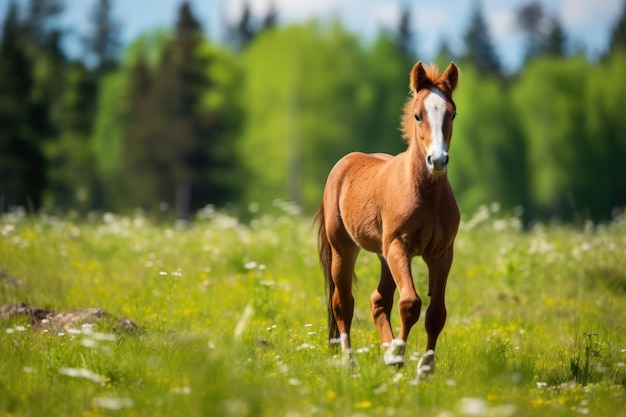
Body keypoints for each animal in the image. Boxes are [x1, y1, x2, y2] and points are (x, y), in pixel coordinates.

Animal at [312, 60, 458, 378]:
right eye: (417, 115)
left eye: (452, 112)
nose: (437, 160)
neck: (425, 193)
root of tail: (341, 166)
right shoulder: (398, 246)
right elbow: (411, 303)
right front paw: (397, 354)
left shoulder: (442, 254)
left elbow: (436, 313)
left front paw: (424, 368)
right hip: (344, 249)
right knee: (343, 303)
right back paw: (350, 362)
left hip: (383, 255)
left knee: (378, 300)